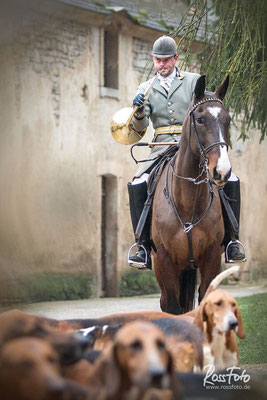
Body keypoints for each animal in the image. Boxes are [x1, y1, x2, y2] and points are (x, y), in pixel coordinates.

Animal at [153, 76, 232, 316]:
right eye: (200, 119)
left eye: (228, 119)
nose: (222, 171)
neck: (188, 202)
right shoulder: (164, 260)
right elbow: (172, 307)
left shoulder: (211, 256)